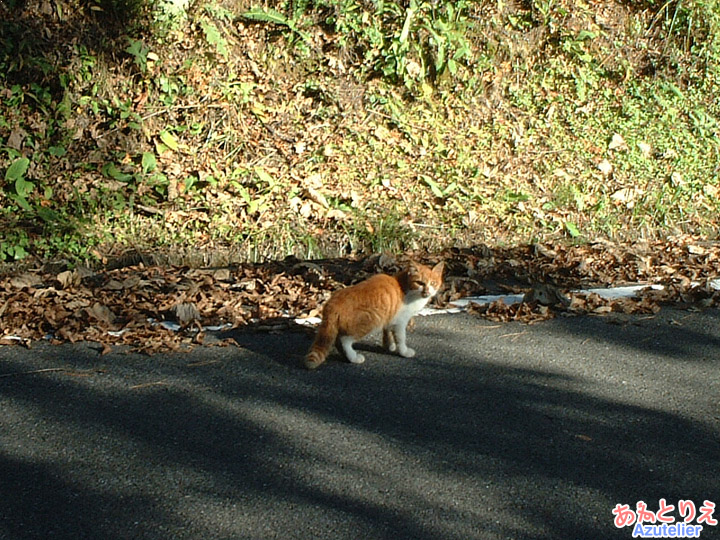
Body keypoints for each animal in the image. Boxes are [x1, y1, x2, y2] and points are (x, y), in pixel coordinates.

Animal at [304, 260, 444, 370]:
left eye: (433, 283)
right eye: (420, 283)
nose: (427, 291)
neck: (405, 287)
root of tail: (331, 303)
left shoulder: (389, 317)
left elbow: (387, 333)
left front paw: (389, 346)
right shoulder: (400, 322)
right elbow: (401, 338)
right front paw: (403, 351)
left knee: (338, 341)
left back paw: (347, 357)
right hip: (370, 320)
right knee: (344, 340)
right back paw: (354, 357)